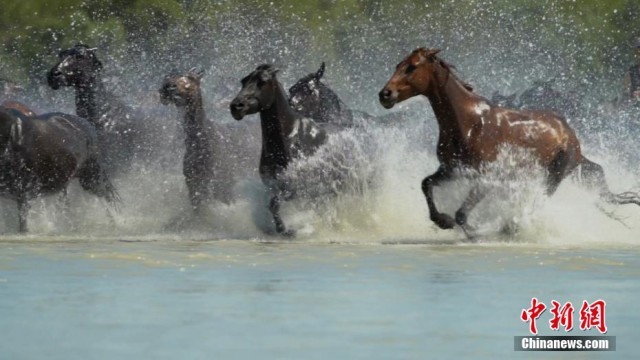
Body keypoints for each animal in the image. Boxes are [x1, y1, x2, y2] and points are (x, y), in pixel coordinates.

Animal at [159, 67, 262, 214]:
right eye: (167, 77)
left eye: (191, 77)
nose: (167, 87)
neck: (202, 144)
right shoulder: (194, 187)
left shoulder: (225, 187)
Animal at [230, 64, 330, 236]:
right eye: (243, 80)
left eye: (262, 81)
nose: (236, 107)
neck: (287, 138)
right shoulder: (271, 184)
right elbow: (271, 204)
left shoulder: (293, 188)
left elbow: (275, 203)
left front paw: (285, 229)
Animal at [380, 47, 640, 238]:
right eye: (398, 65)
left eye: (412, 67)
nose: (385, 95)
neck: (468, 123)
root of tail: (571, 136)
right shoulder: (452, 169)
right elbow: (426, 184)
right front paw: (443, 221)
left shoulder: (487, 177)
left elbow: (462, 215)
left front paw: (476, 232)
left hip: (554, 175)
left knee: (537, 203)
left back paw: (512, 227)